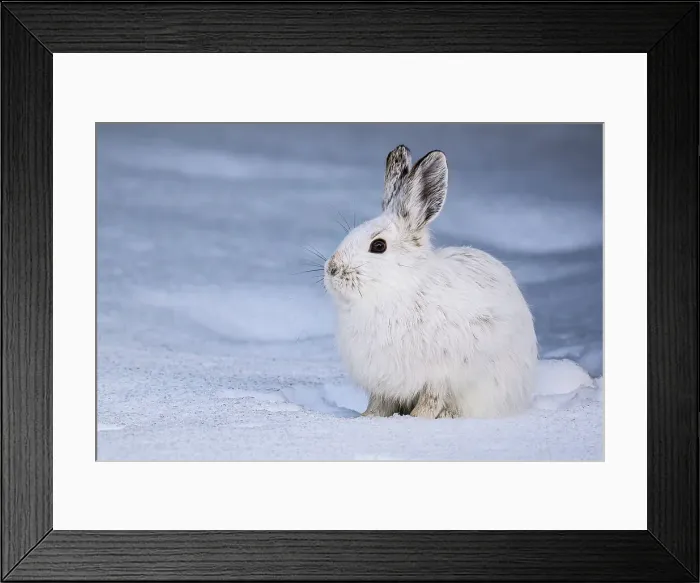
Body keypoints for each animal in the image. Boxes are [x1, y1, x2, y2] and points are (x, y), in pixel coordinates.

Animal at [323, 145, 539, 419]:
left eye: (378, 246)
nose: (332, 269)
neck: (394, 290)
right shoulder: (383, 383)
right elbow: (379, 403)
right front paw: (367, 418)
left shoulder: (440, 376)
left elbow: (431, 400)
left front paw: (417, 419)